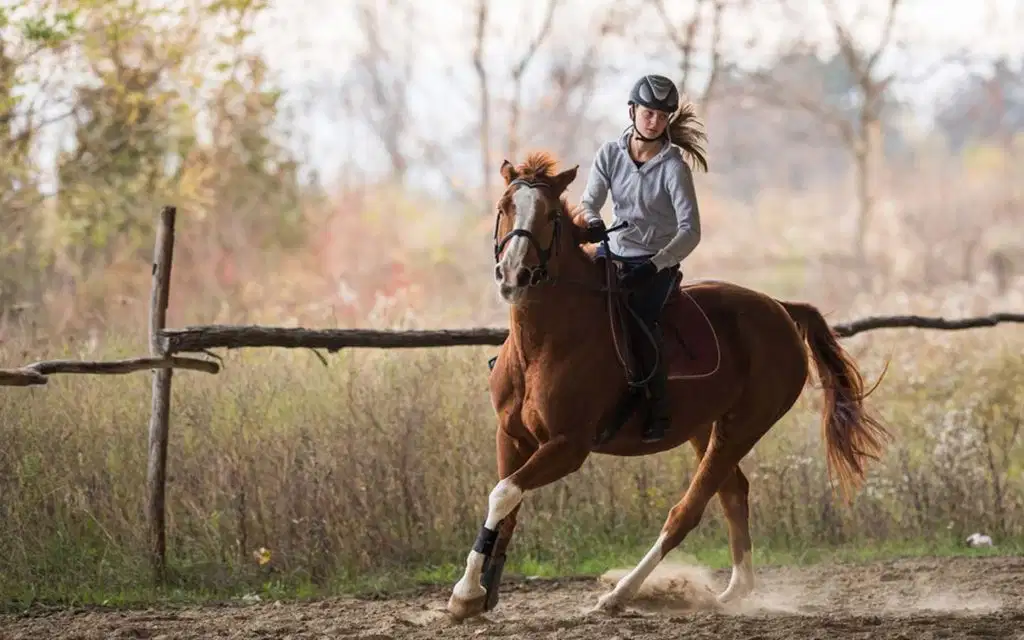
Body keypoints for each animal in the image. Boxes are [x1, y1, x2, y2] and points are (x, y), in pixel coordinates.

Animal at [445, 137, 890, 621]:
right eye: (505, 207)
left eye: (550, 217)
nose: (514, 275)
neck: (543, 343)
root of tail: (781, 309)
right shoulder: (511, 435)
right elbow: (506, 503)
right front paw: (481, 592)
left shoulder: (568, 446)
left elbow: (504, 493)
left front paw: (464, 594)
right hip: (705, 427)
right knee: (733, 492)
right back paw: (734, 591)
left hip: (743, 426)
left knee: (688, 510)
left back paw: (621, 595)